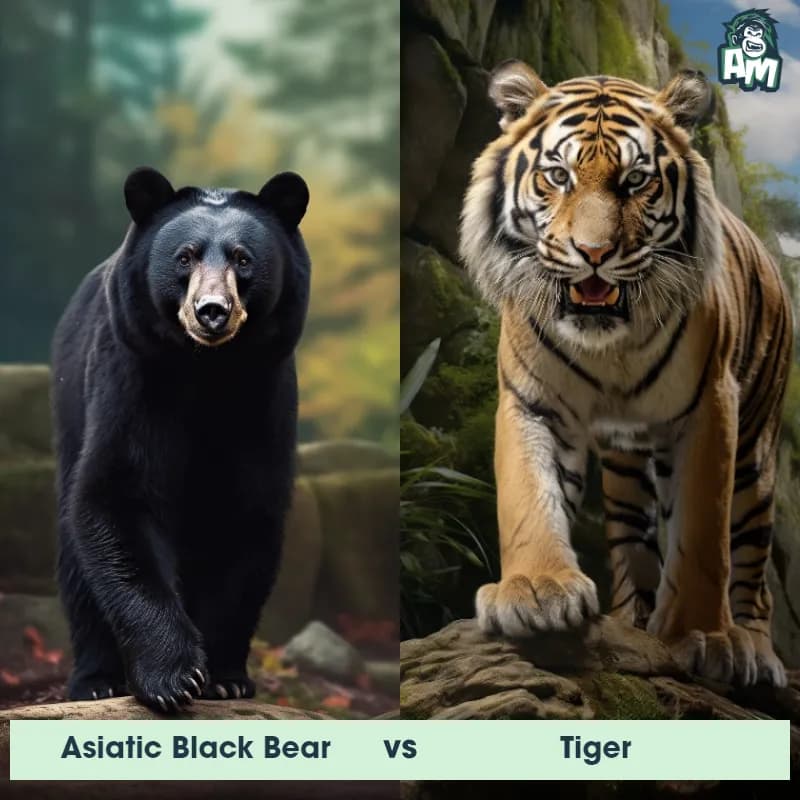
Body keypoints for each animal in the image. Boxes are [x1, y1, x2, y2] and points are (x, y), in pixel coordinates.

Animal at [51, 166, 310, 712]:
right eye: (185, 256)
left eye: (242, 259)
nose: (211, 311)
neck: (206, 370)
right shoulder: (133, 375)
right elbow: (116, 496)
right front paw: (173, 676)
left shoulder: (263, 394)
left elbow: (246, 516)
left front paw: (224, 677)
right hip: (70, 402)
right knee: (75, 564)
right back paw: (96, 679)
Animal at [459, 61, 792, 687]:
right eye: (558, 176)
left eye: (636, 181)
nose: (593, 253)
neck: (606, 345)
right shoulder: (533, 401)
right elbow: (528, 495)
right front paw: (535, 591)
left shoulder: (710, 407)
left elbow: (703, 534)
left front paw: (704, 635)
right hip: (626, 470)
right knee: (634, 544)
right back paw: (633, 620)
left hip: (756, 456)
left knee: (753, 567)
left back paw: (756, 650)